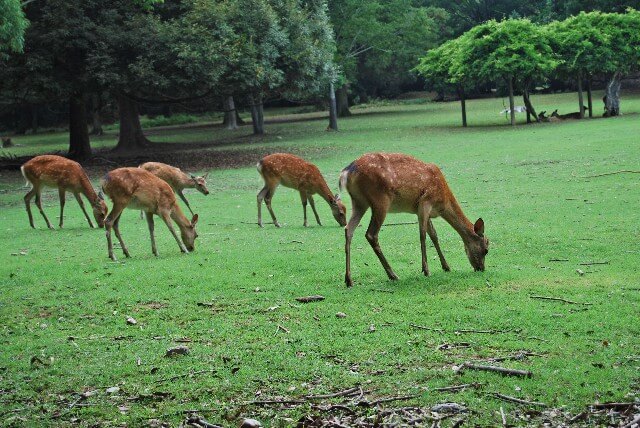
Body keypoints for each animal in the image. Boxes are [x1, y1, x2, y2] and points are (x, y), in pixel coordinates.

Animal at [342, 153, 488, 288]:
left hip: (359, 202)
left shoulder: (423, 210)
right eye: (486, 249)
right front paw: (426, 270)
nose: (481, 269)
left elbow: (434, 235)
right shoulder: (425, 201)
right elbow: (423, 235)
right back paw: (393, 275)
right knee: (371, 234)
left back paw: (349, 280)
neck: (443, 202)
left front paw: (446, 267)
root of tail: (348, 171)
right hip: (380, 200)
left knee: (348, 229)